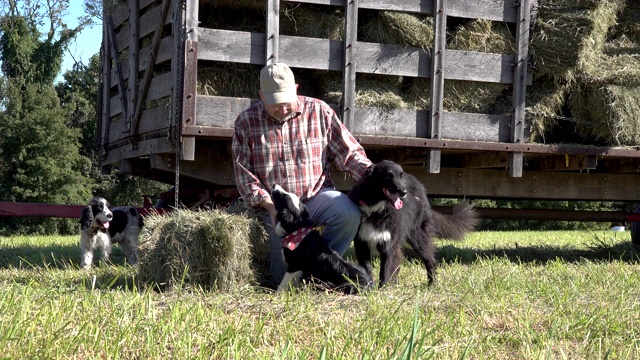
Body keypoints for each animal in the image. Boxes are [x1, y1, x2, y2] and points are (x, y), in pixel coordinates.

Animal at [348, 160, 478, 286]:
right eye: (388, 176)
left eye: (401, 176)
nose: (404, 192)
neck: (376, 208)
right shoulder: (361, 244)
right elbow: (367, 268)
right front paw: (368, 288)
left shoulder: (389, 245)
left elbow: (385, 270)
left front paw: (382, 288)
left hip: (419, 237)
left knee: (430, 261)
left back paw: (432, 285)